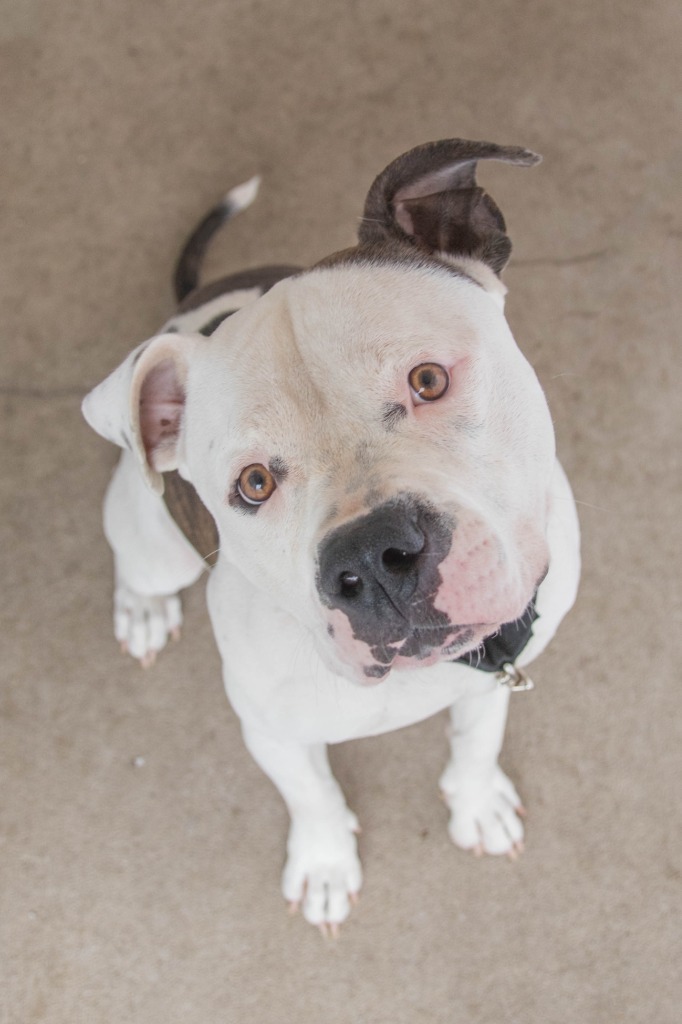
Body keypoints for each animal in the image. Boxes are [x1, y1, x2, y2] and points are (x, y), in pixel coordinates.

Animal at [80, 138, 577, 937]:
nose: (372, 559)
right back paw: (144, 610)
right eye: (253, 484)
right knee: (137, 563)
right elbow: (311, 794)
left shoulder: (505, 656)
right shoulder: (272, 731)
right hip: (148, 534)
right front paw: (323, 865)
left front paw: (476, 801)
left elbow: (479, 734)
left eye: (428, 380)